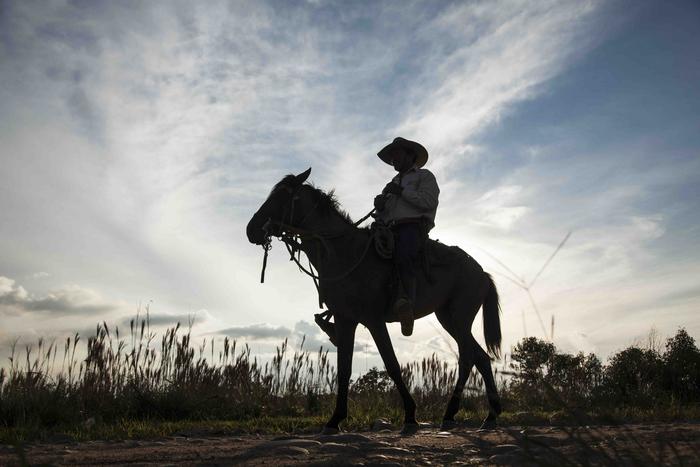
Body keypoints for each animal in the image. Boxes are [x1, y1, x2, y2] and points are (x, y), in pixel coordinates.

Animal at [246, 167, 504, 432]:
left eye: (281, 196)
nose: (251, 229)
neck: (344, 253)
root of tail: (482, 272)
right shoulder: (345, 320)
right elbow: (344, 368)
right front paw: (335, 419)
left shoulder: (373, 320)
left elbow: (392, 364)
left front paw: (410, 415)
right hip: (447, 318)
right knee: (479, 357)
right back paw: (484, 415)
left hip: (459, 319)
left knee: (469, 359)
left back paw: (464, 413)